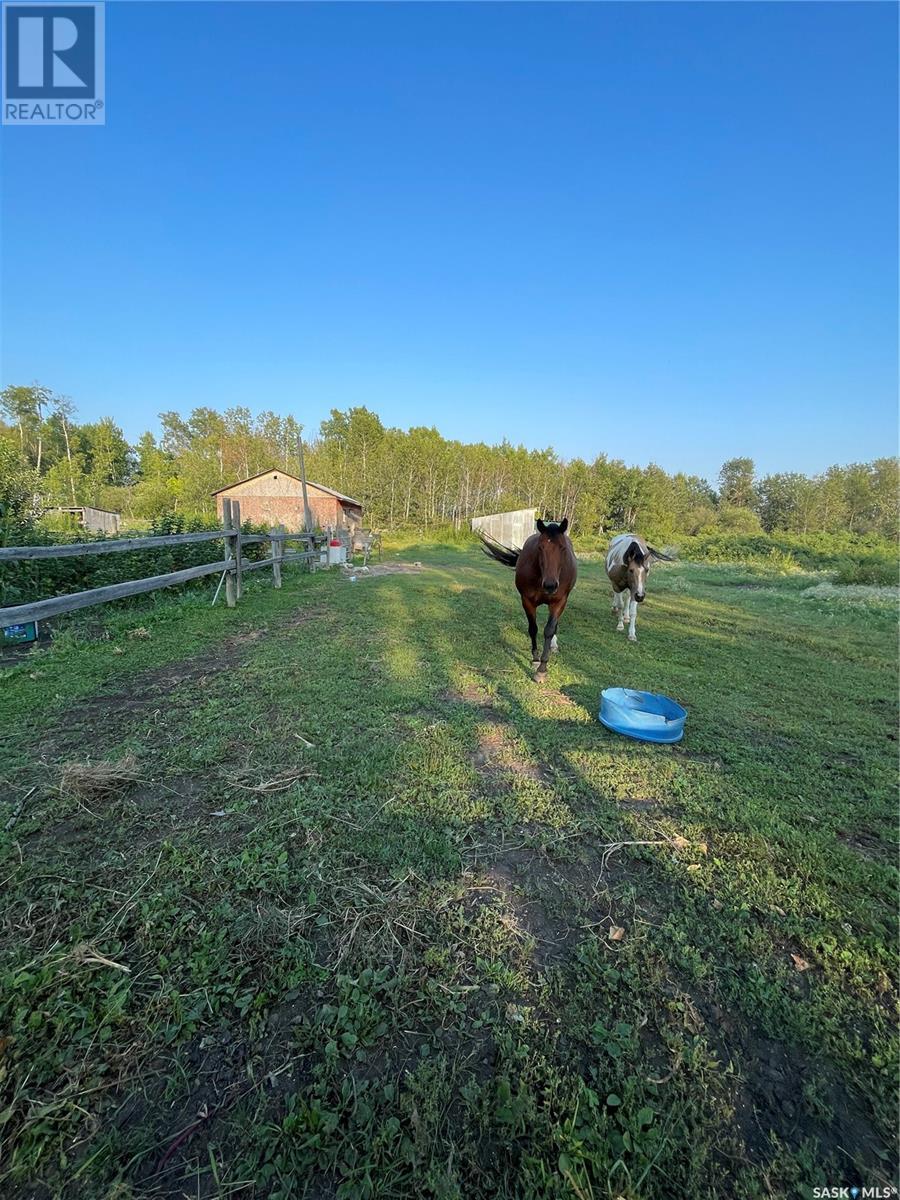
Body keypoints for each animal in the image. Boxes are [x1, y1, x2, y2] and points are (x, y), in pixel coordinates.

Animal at [480, 518, 578, 681]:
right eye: (540, 547)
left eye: (563, 548)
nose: (550, 585)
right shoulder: (527, 601)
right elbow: (533, 629)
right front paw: (536, 660)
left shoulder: (558, 602)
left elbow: (549, 630)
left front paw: (542, 669)